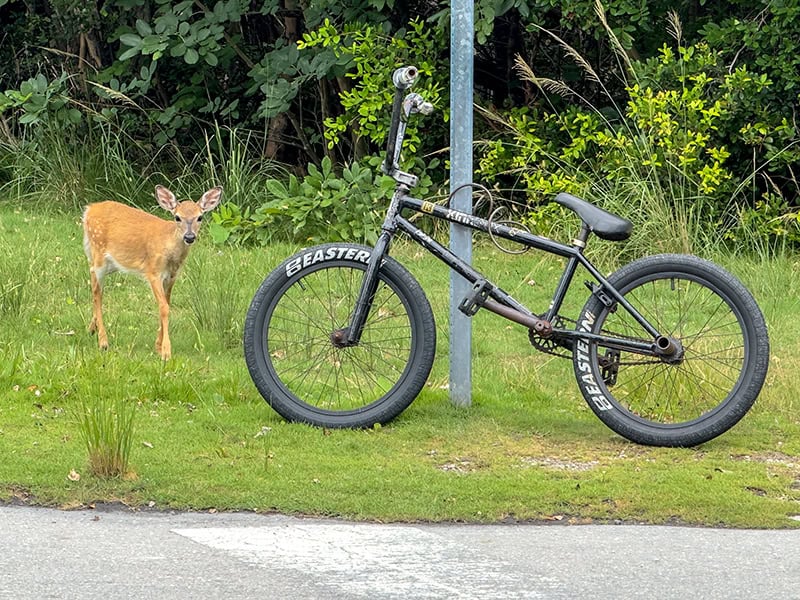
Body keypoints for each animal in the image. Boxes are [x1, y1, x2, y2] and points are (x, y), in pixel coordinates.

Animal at [81, 185, 223, 358]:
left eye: (200, 217)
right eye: (177, 217)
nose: (189, 237)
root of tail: (89, 210)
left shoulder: (171, 277)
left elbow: (166, 304)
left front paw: (158, 346)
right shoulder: (153, 272)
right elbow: (164, 308)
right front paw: (166, 351)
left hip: (110, 262)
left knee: (93, 279)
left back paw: (91, 329)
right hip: (99, 251)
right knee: (97, 292)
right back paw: (103, 341)